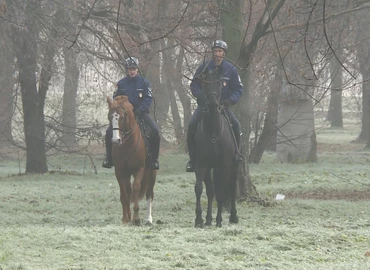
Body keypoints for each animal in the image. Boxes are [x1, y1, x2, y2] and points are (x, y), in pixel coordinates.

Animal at [107, 95, 156, 226]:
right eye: (109, 117)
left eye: (122, 117)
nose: (116, 140)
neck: (127, 145)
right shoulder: (120, 172)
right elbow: (124, 194)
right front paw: (125, 218)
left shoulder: (139, 170)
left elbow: (136, 189)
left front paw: (136, 218)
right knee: (129, 191)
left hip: (151, 173)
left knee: (149, 193)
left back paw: (148, 219)